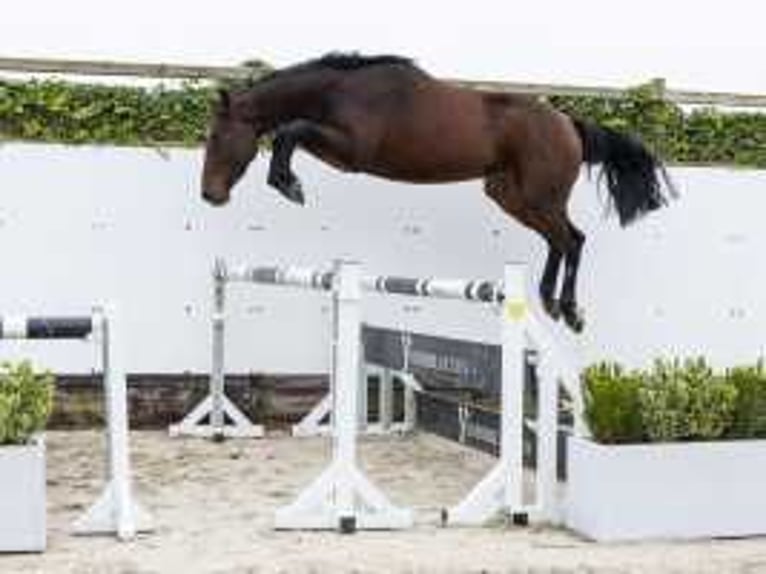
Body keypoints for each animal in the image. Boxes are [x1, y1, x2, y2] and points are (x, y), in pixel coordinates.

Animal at [201, 55, 676, 332]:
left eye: (216, 138)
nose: (210, 195)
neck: (340, 91)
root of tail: (569, 123)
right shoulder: (338, 150)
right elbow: (291, 131)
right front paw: (287, 181)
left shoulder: (353, 150)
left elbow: (290, 131)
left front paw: (289, 184)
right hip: (511, 196)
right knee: (559, 239)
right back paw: (548, 300)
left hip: (539, 196)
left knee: (573, 239)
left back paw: (571, 311)